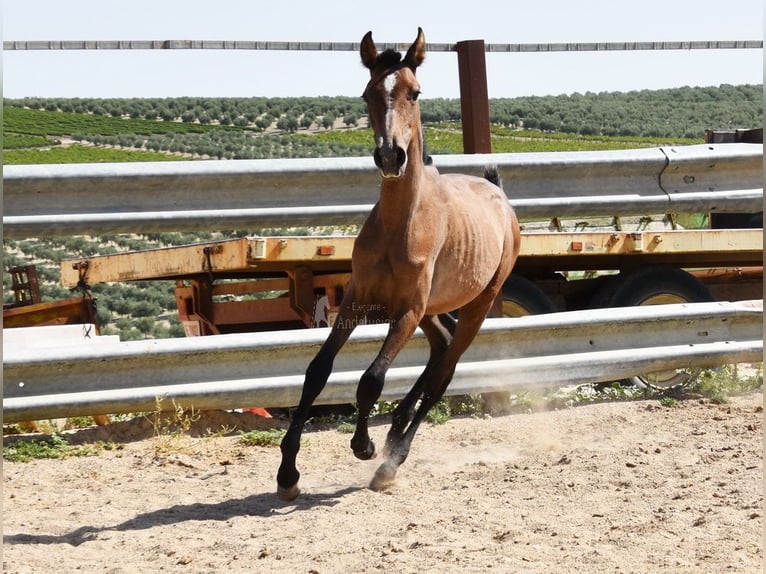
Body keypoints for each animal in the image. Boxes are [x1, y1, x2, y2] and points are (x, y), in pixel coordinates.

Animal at [276, 28, 520, 504]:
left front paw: (364, 446)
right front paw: (287, 474)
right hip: (432, 310)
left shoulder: (405, 311)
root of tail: (499, 196)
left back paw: (391, 459)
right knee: (441, 347)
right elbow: (317, 371)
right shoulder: (356, 300)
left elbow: (371, 379)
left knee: (446, 368)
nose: (391, 156)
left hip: (478, 304)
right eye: (368, 92)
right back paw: (394, 432)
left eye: (415, 92)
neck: (400, 225)